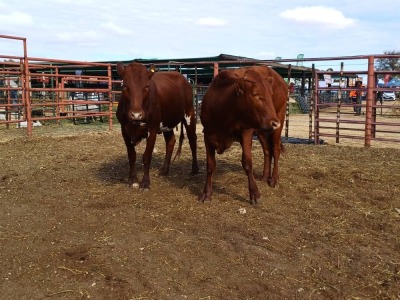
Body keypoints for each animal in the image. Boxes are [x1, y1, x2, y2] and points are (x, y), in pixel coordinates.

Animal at [116, 62, 199, 190]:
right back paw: (164, 170)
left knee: (192, 140)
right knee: (171, 141)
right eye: (124, 86)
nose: (136, 114)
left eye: (146, 87)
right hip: (167, 122)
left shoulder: (152, 129)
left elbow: (147, 156)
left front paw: (145, 183)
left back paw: (195, 169)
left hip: (189, 113)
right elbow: (131, 156)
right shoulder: (124, 130)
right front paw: (133, 180)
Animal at [199, 66, 286, 204]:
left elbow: (247, 163)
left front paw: (255, 194)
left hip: (280, 118)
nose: (274, 123)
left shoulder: (246, 133)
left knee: (275, 150)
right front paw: (206, 193)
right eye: (255, 94)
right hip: (262, 130)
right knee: (267, 150)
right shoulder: (207, 135)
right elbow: (210, 165)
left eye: (270, 94)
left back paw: (274, 179)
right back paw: (264, 176)